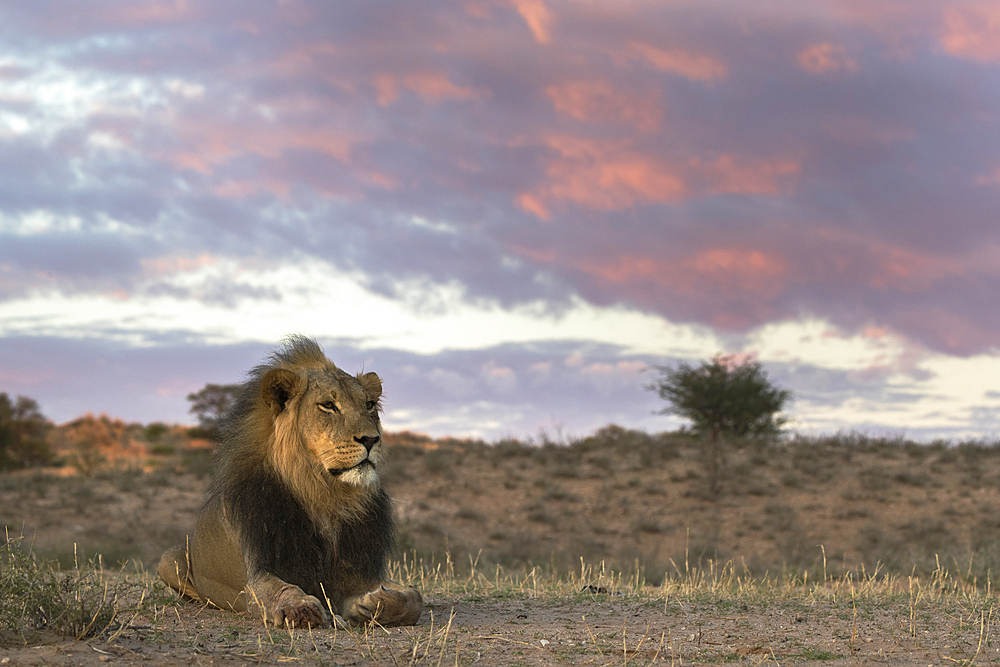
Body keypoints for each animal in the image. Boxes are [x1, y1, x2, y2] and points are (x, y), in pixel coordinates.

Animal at [156, 336, 422, 628]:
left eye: (369, 405)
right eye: (328, 405)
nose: (372, 439)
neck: (325, 496)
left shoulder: (361, 572)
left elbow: (415, 598)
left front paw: (372, 603)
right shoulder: (258, 576)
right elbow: (281, 589)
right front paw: (299, 607)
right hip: (167, 559)